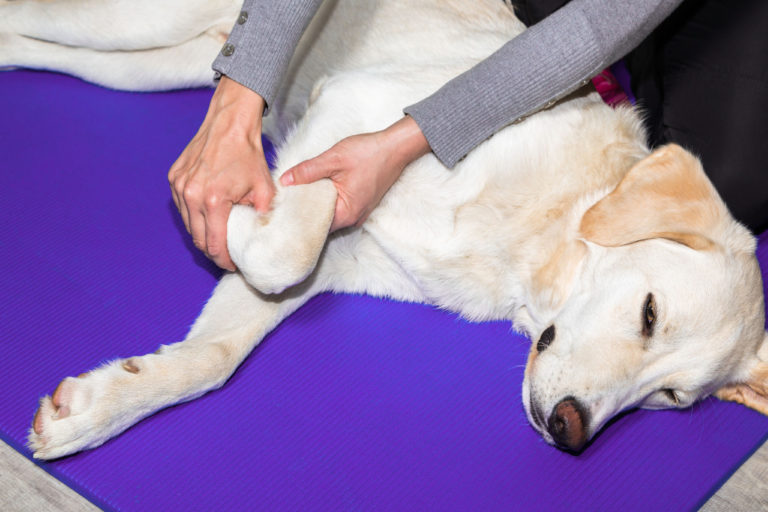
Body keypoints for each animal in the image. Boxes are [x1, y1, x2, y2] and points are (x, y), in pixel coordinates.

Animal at [3, 0, 764, 456]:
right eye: (649, 313)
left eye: (671, 398)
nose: (570, 432)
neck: (528, 243)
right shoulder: (352, 109)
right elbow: (285, 244)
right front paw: (245, 202)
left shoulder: (337, 259)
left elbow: (214, 358)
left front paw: (98, 407)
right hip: (138, 23)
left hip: (146, 64)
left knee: (26, 40)